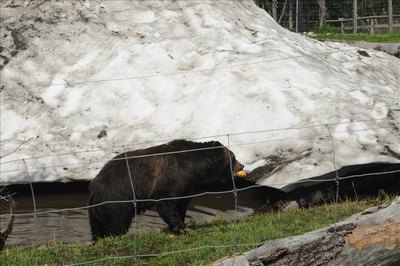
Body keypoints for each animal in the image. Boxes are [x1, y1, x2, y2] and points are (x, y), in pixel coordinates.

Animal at [88, 139, 244, 241]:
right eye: (234, 157)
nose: (242, 165)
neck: (193, 167)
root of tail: (93, 187)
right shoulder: (172, 174)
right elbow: (165, 201)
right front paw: (181, 227)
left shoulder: (187, 184)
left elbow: (181, 203)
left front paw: (183, 224)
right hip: (117, 198)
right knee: (117, 222)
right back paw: (115, 236)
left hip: (96, 210)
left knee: (97, 227)